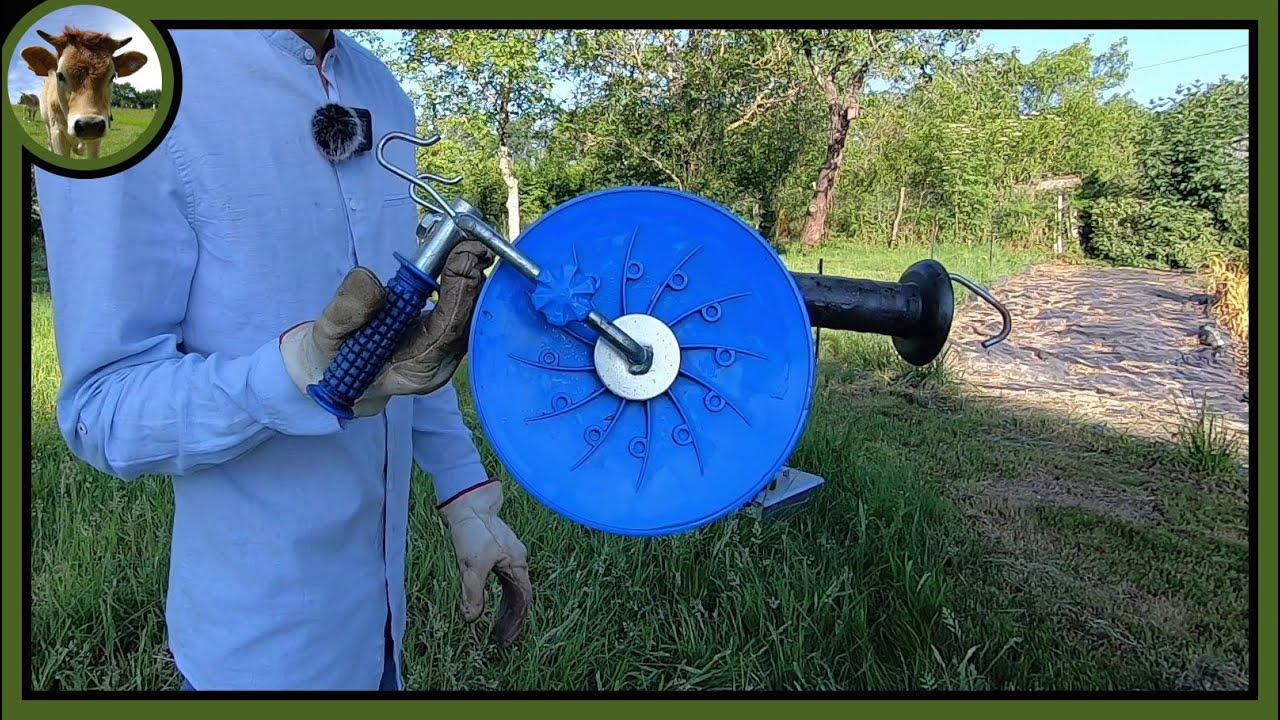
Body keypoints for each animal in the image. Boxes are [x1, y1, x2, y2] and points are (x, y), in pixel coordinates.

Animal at [20, 26, 148, 159]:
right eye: (60, 75)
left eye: (112, 76)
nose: (89, 124)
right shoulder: (57, 134)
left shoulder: (96, 140)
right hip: (48, 126)